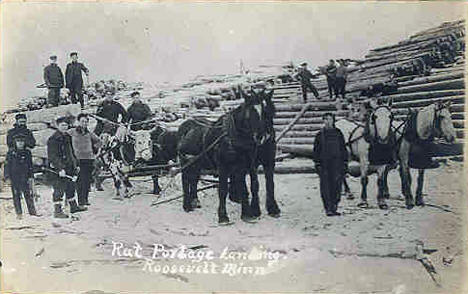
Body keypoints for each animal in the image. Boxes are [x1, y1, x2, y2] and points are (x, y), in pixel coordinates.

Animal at [176, 93, 270, 224]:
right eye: (250, 112)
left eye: (264, 111)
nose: (260, 136)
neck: (232, 137)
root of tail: (184, 126)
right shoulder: (223, 167)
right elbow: (223, 189)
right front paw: (223, 216)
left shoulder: (242, 166)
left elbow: (243, 188)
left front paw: (247, 214)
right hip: (186, 162)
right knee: (185, 180)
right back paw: (187, 205)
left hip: (197, 163)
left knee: (194, 179)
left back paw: (195, 201)